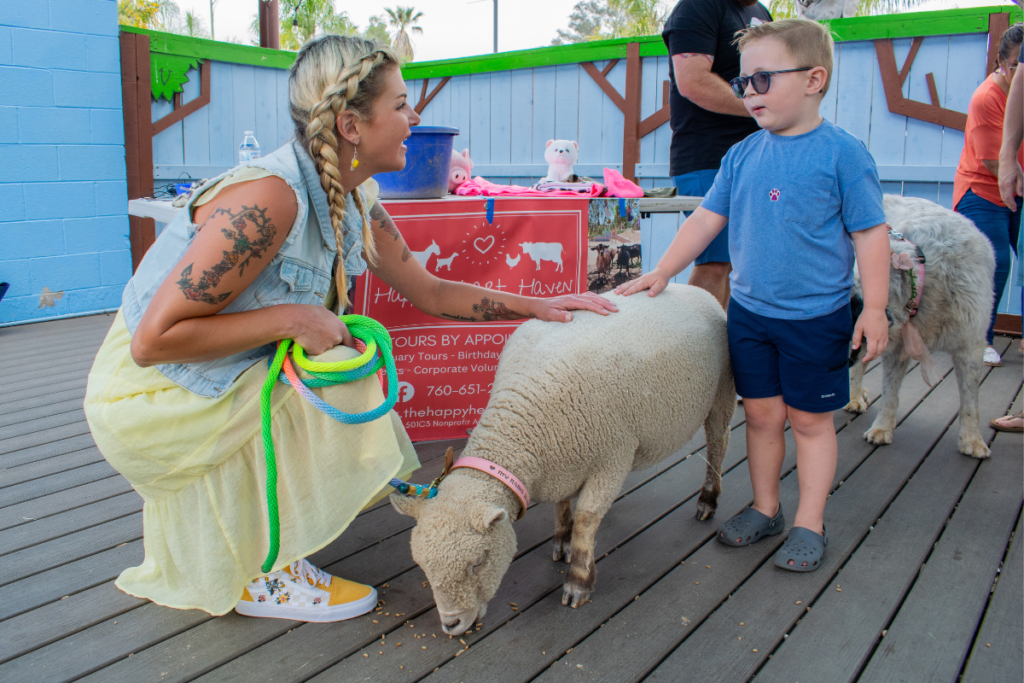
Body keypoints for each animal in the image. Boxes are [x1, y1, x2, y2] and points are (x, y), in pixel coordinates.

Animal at [391, 284, 737, 634]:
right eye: (421, 564)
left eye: (479, 561)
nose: (451, 625)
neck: (522, 422)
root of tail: (693, 289)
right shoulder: (564, 455)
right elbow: (561, 506)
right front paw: (562, 539)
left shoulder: (613, 456)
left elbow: (586, 518)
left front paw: (578, 581)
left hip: (722, 390)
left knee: (718, 443)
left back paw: (708, 499)